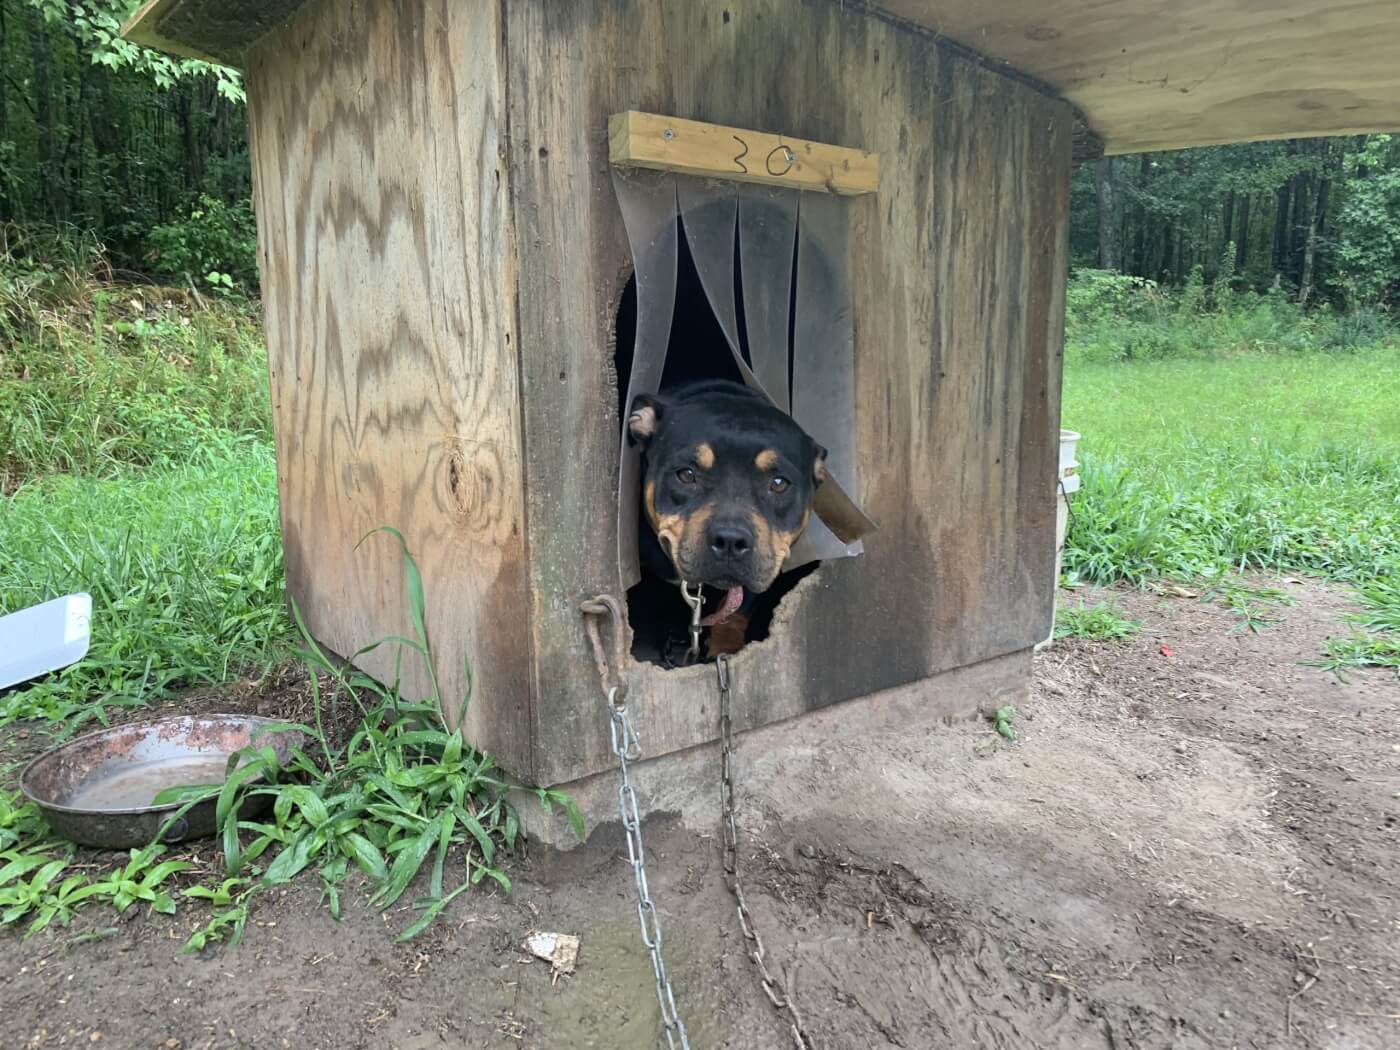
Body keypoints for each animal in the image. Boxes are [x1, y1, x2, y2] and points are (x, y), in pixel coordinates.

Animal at [630, 378, 823, 658]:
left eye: (779, 483)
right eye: (686, 474)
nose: (730, 540)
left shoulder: (765, 563)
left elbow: (737, 608)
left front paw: (726, 646)